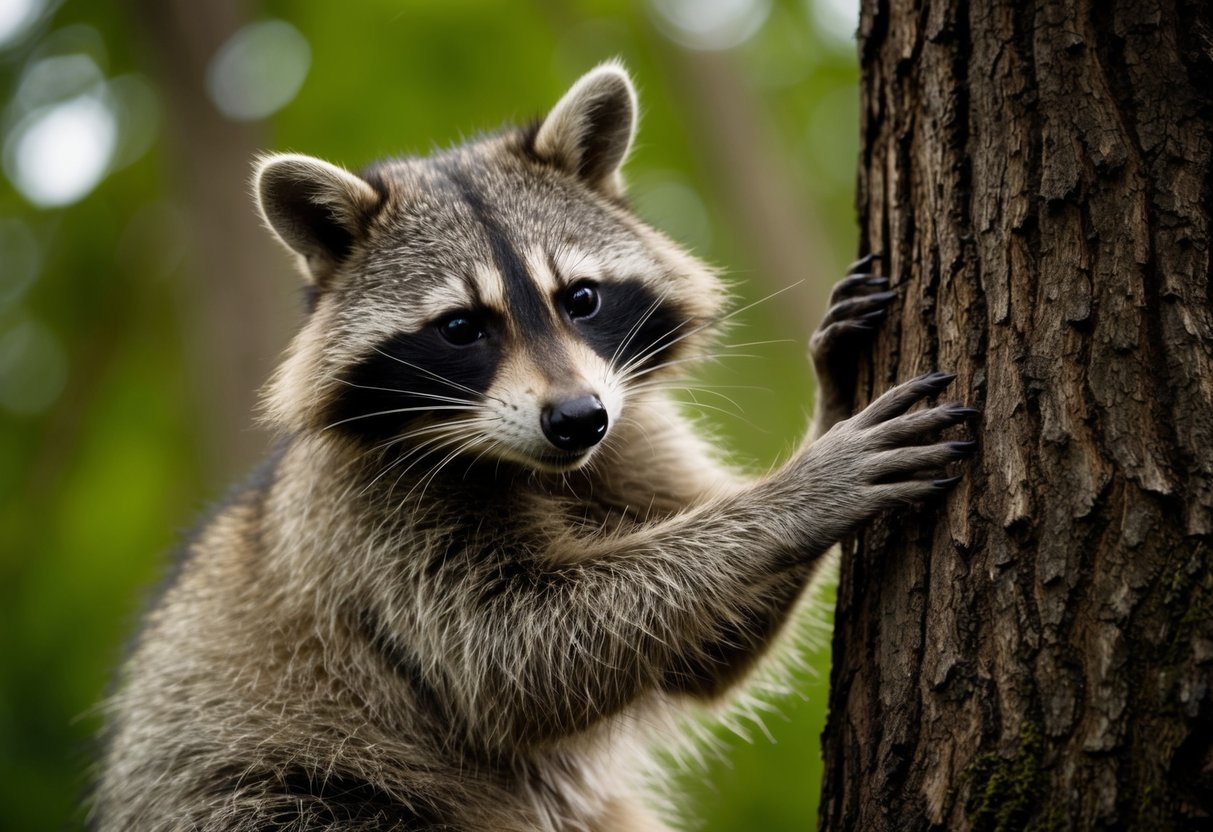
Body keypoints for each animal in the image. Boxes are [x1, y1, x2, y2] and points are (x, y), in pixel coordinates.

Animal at [93, 62, 974, 831]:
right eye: (460, 327)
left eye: (580, 298)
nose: (577, 420)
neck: (533, 460)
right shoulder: (368, 517)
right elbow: (519, 655)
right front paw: (797, 492)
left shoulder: (631, 428)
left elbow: (704, 651)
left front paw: (831, 402)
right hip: (290, 792)